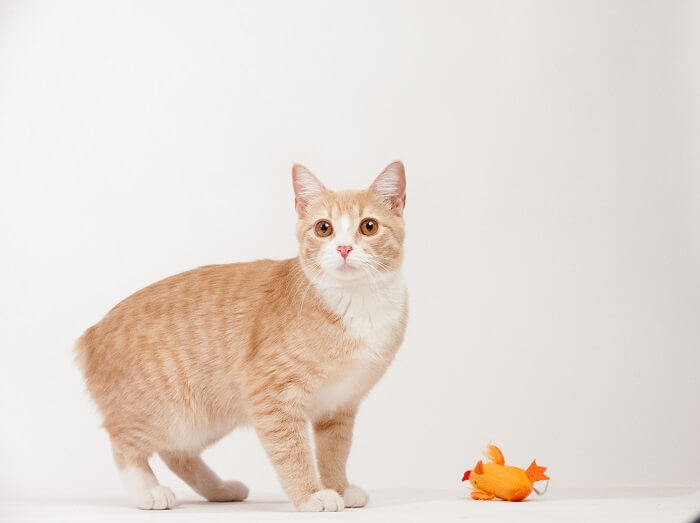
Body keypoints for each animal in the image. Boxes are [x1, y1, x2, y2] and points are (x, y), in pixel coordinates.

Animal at [75, 161, 410, 512]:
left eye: (368, 227)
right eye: (324, 228)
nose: (344, 248)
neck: (357, 300)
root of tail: (91, 333)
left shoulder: (339, 406)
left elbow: (334, 452)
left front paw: (340, 488)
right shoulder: (272, 395)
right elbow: (292, 451)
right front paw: (310, 494)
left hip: (205, 418)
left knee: (177, 454)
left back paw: (219, 489)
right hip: (166, 411)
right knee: (124, 443)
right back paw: (146, 491)